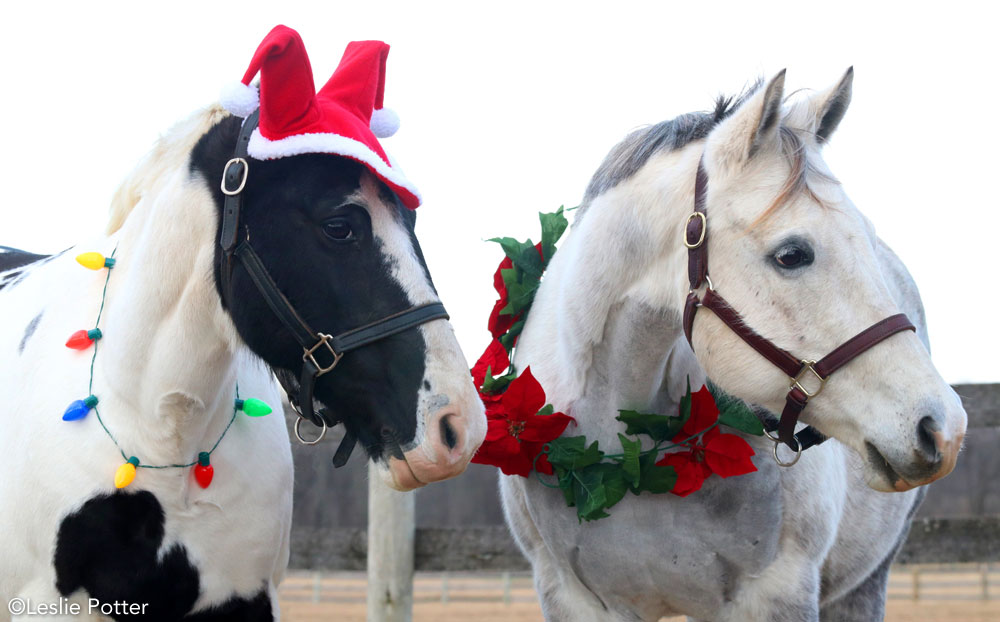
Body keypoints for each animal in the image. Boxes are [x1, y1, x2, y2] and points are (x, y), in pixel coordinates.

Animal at [500, 70, 968, 620]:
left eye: (869, 240)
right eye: (792, 254)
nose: (942, 427)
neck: (625, 450)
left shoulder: (775, 593)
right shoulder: (574, 600)